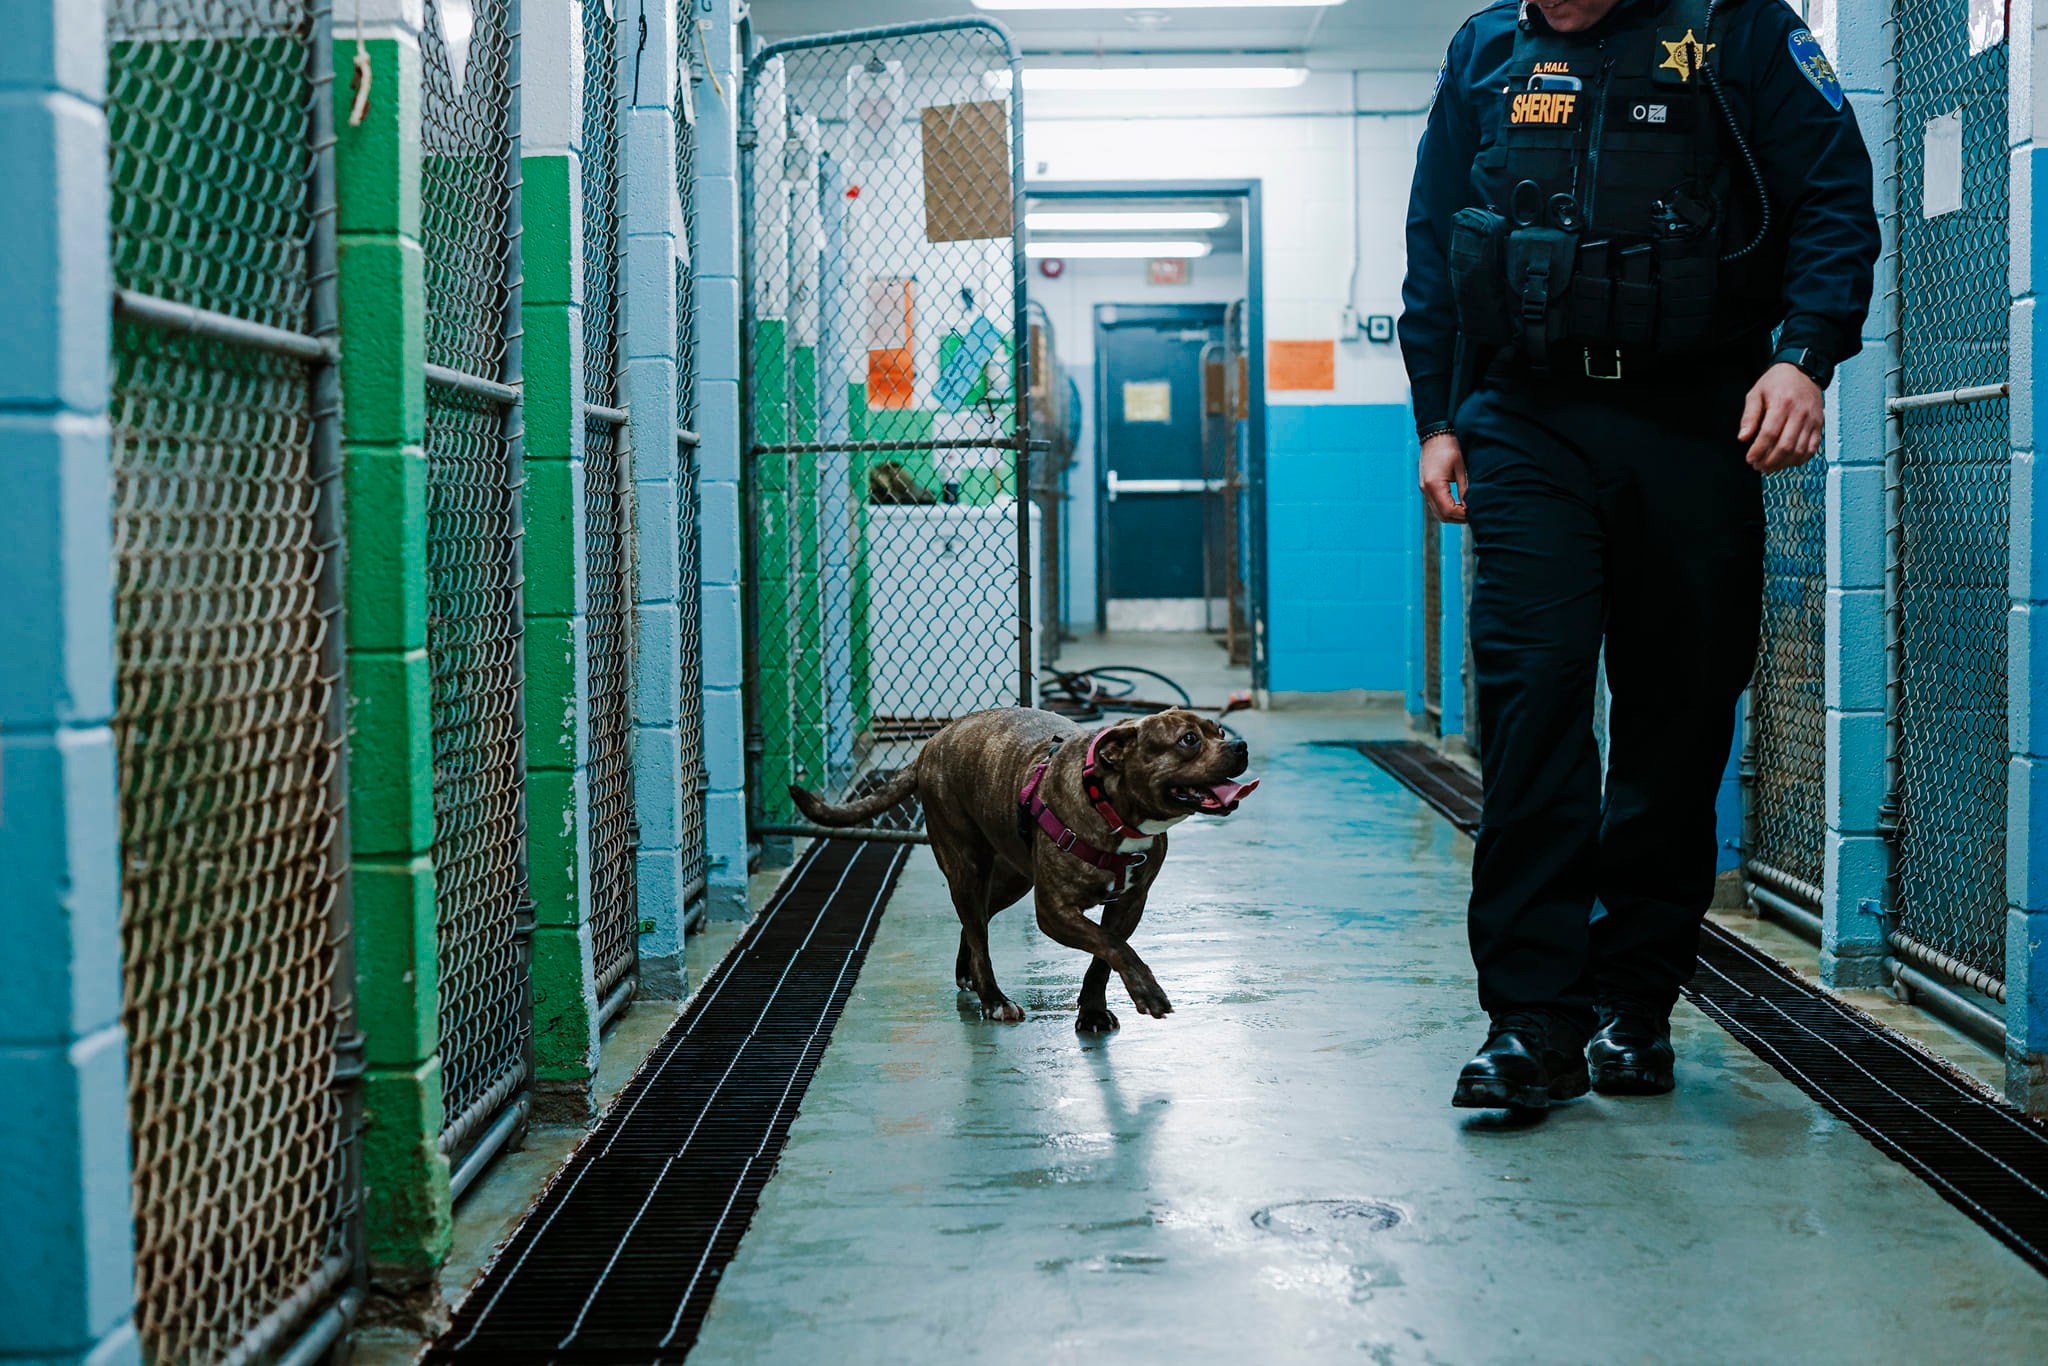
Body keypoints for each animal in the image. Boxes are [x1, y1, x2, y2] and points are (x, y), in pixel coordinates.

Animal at [794, 712, 1245, 1032]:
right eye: (1188, 740)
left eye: (1219, 730)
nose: (1240, 744)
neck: (1111, 808)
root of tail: (931, 744)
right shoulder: (1053, 912)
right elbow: (1114, 948)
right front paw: (1146, 990)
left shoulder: (1129, 904)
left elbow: (1104, 956)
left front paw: (1093, 1012)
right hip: (967, 868)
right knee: (977, 929)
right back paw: (993, 998)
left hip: (1014, 878)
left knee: (974, 925)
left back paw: (969, 975)